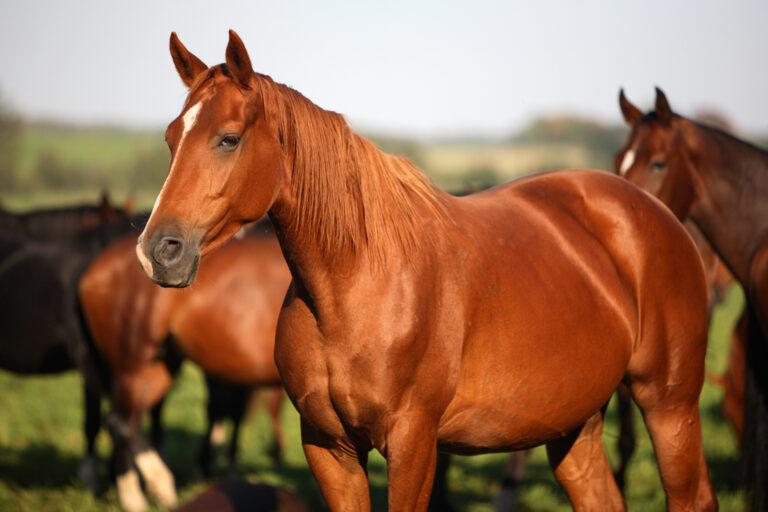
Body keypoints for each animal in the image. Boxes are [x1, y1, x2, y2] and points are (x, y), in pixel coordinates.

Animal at [79, 219, 290, 512]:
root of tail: (94, 269)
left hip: (158, 368)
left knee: (127, 421)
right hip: (131, 366)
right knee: (120, 424)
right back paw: (144, 493)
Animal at [136, 30, 717, 511]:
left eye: (228, 138)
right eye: (170, 138)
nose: (158, 251)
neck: (356, 284)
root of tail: (652, 212)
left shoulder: (412, 444)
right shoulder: (329, 448)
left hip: (669, 405)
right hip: (575, 424)